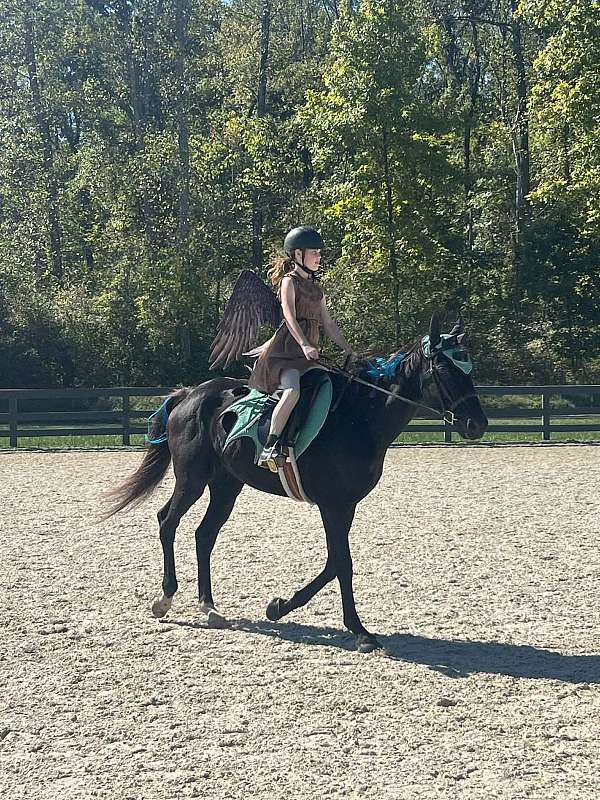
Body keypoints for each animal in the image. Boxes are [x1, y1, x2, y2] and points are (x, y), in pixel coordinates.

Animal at [106, 314, 488, 652]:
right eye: (445, 369)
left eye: (470, 368)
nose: (477, 424)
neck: (357, 417)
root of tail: (189, 395)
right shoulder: (333, 505)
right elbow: (342, 563)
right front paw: (360, 633)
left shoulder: (345, 506)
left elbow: (334, 562)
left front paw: (278, 607)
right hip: (192, 479)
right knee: (167, 521)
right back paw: (165, 598)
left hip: (227, 485)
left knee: (204, 535)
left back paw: (209, 607)